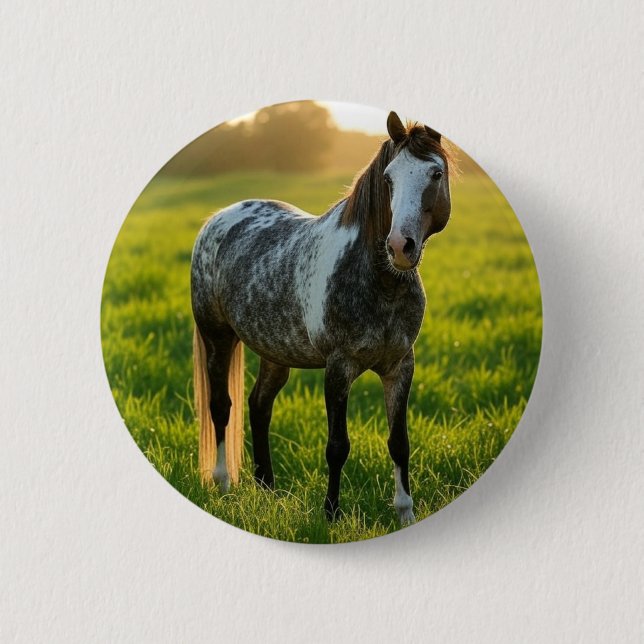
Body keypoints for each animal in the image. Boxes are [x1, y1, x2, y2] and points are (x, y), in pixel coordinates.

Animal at [191, 111, 454, 525]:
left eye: (435, 173)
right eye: (388, 178)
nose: (400, 246)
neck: (379, 283)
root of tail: (217, 219)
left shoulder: (400, 366)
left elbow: (399, 442)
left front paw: (405, 513)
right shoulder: (338, 367)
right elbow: (337, 446)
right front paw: (331, 514)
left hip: (274, 352)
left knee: (259, 405)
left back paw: (267, 488)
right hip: (217, 337)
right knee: (221, 406)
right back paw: (223, 484)